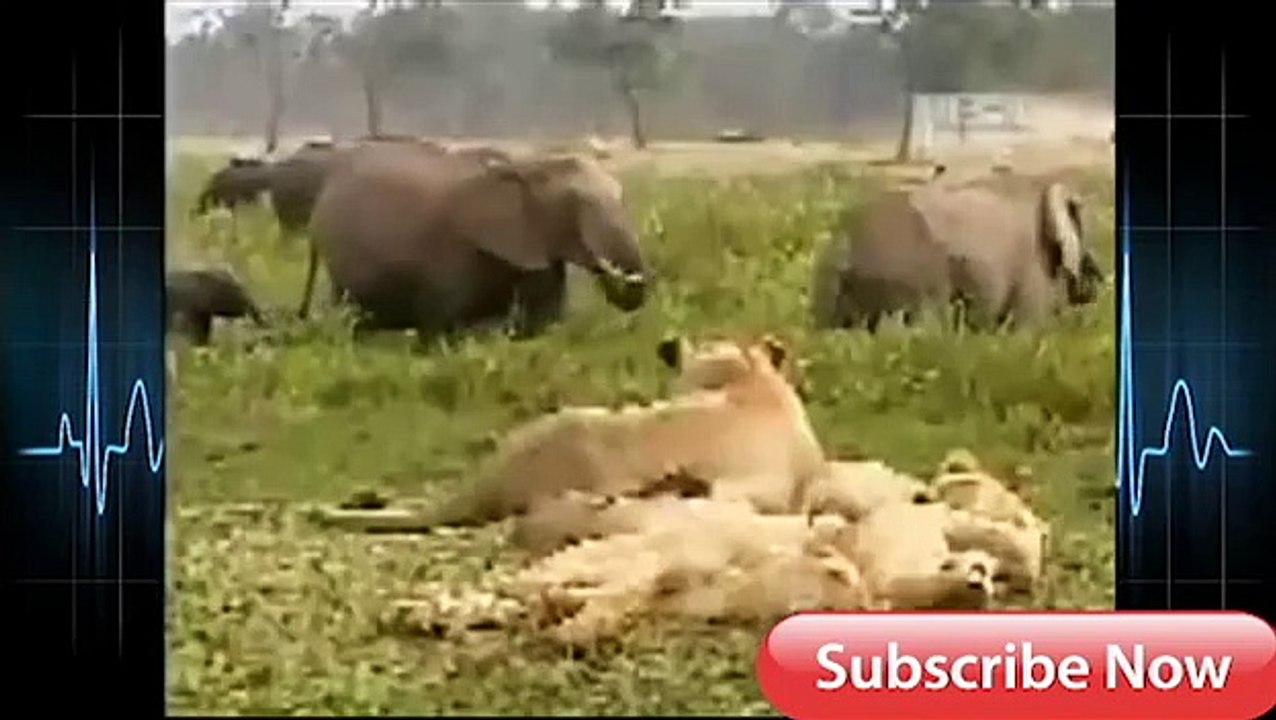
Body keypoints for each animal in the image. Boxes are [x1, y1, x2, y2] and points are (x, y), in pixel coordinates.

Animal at [307, 146, 650, 343]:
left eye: (621, 196)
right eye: (576, 203)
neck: (526, 167)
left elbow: (544, 320)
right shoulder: (452, 251)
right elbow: (447, 327)